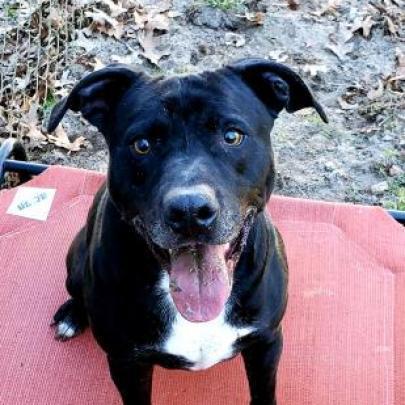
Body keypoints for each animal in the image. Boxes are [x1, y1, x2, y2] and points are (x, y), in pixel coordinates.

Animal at [47, 57, 326, 404]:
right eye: (142, 145)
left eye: (231, 136)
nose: (190, 211)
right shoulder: (126, 362)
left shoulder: (266, 341)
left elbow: (264, 392)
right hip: (75, 258)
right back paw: (72, 315)